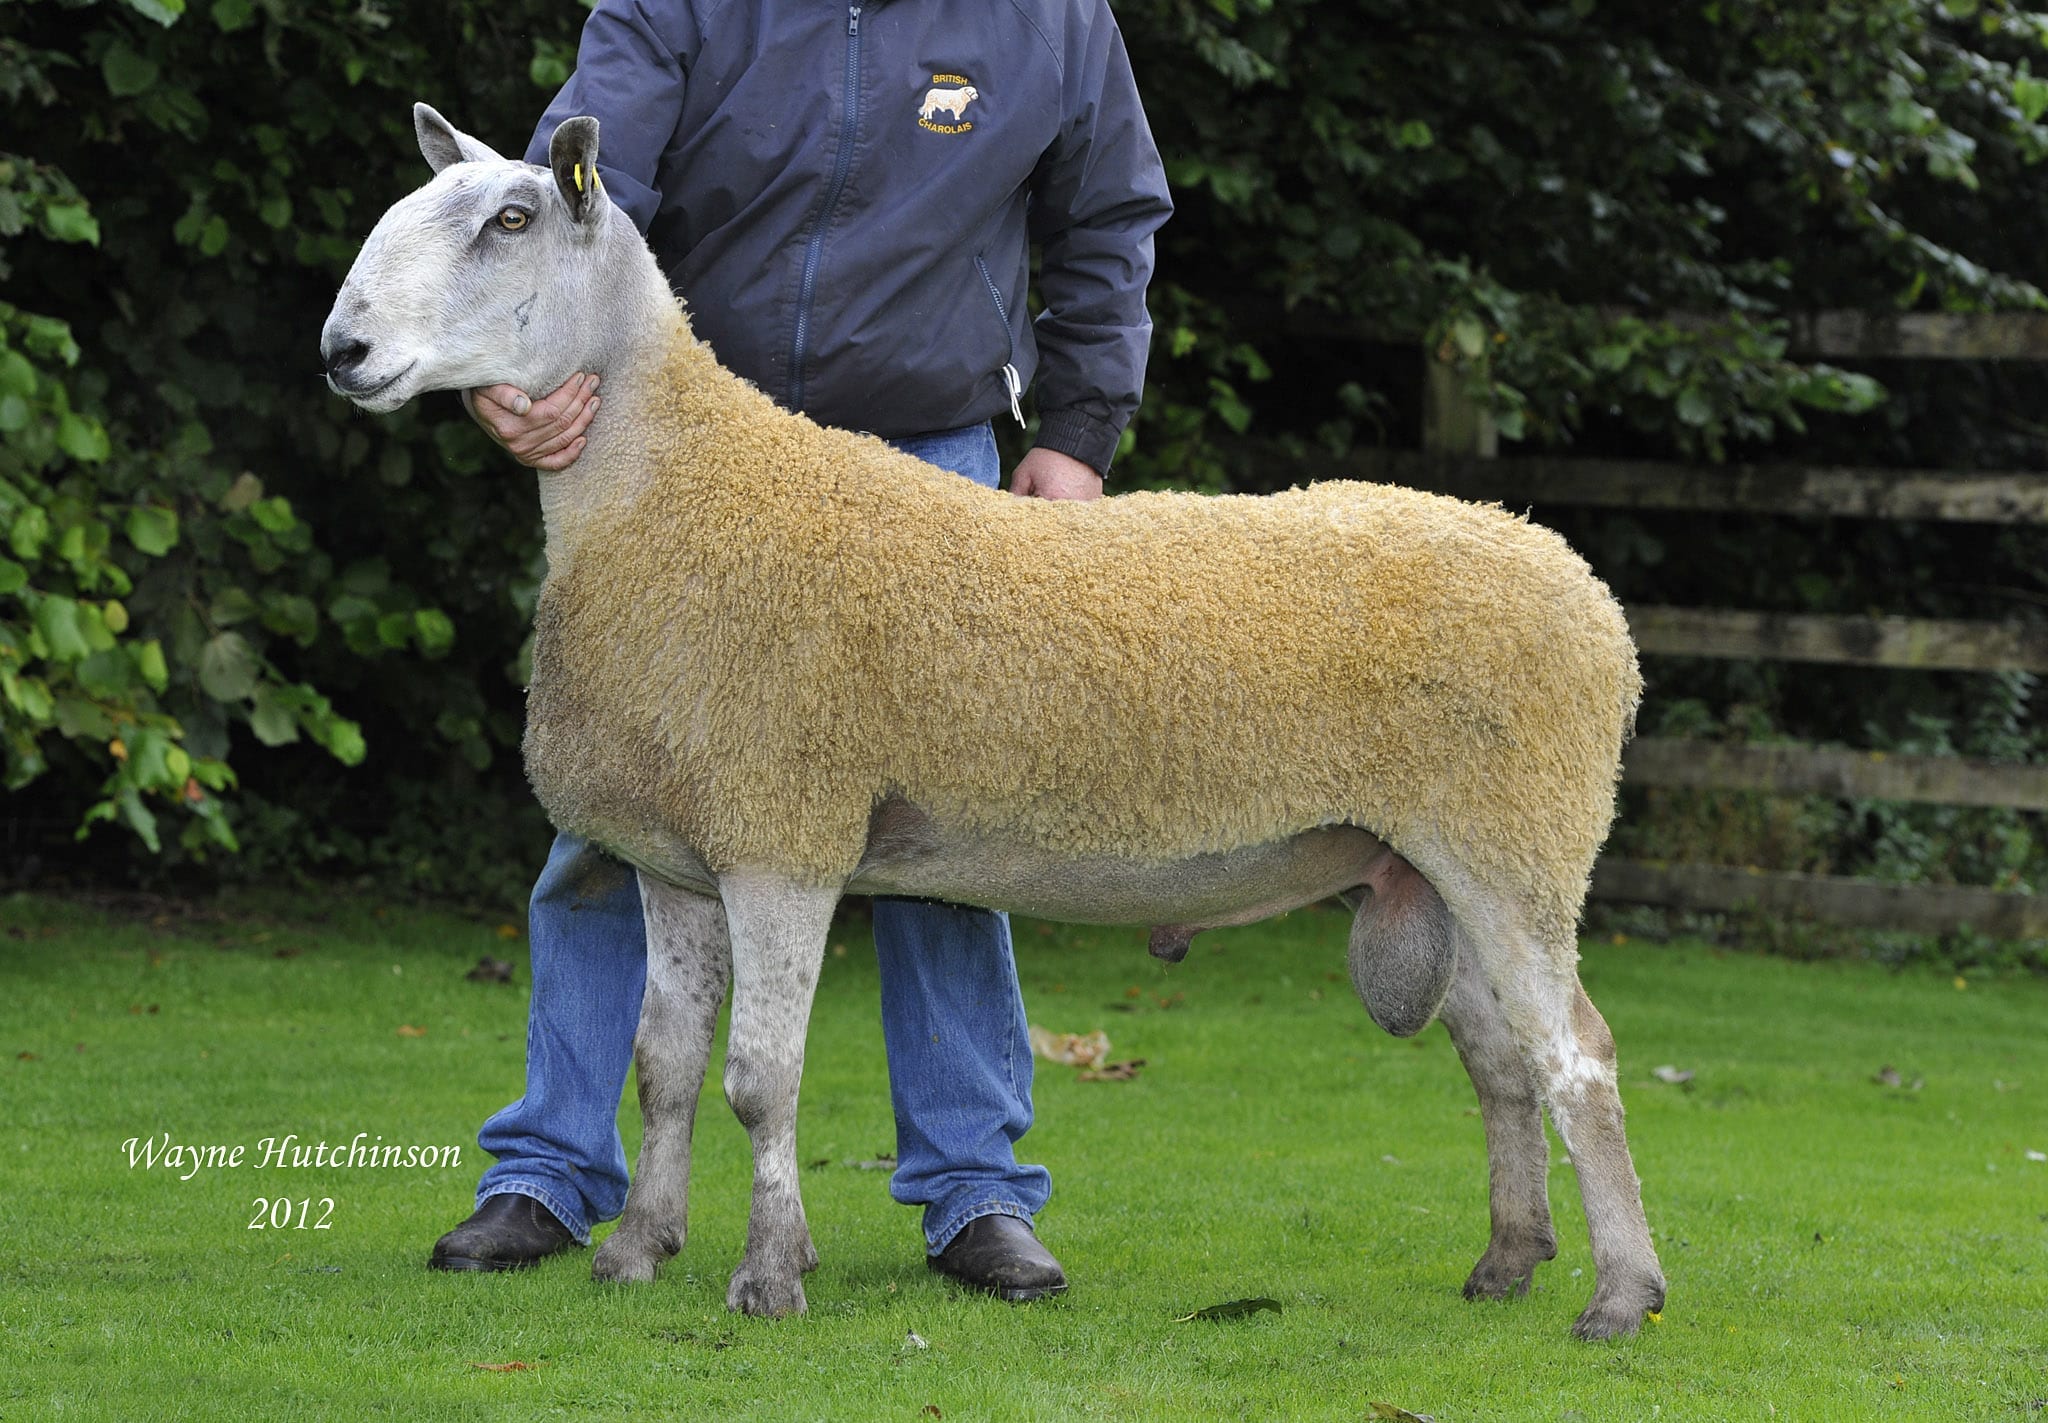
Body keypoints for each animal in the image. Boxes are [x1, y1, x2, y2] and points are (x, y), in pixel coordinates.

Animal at [319, 105, 1662, 1343]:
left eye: (511, 220)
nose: (342, 348)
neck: (673, 490)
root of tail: (1584, 588)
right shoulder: (680, 858)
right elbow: (664, 1066)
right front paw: (637, 1248)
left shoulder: (783, 834)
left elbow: (760, 1080)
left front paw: (767, 1275)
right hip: (1433, 858)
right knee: (1501, 1061)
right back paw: (1506, 1262)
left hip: (1517, 840)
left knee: (1578, 1058)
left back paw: (1619, 1295)